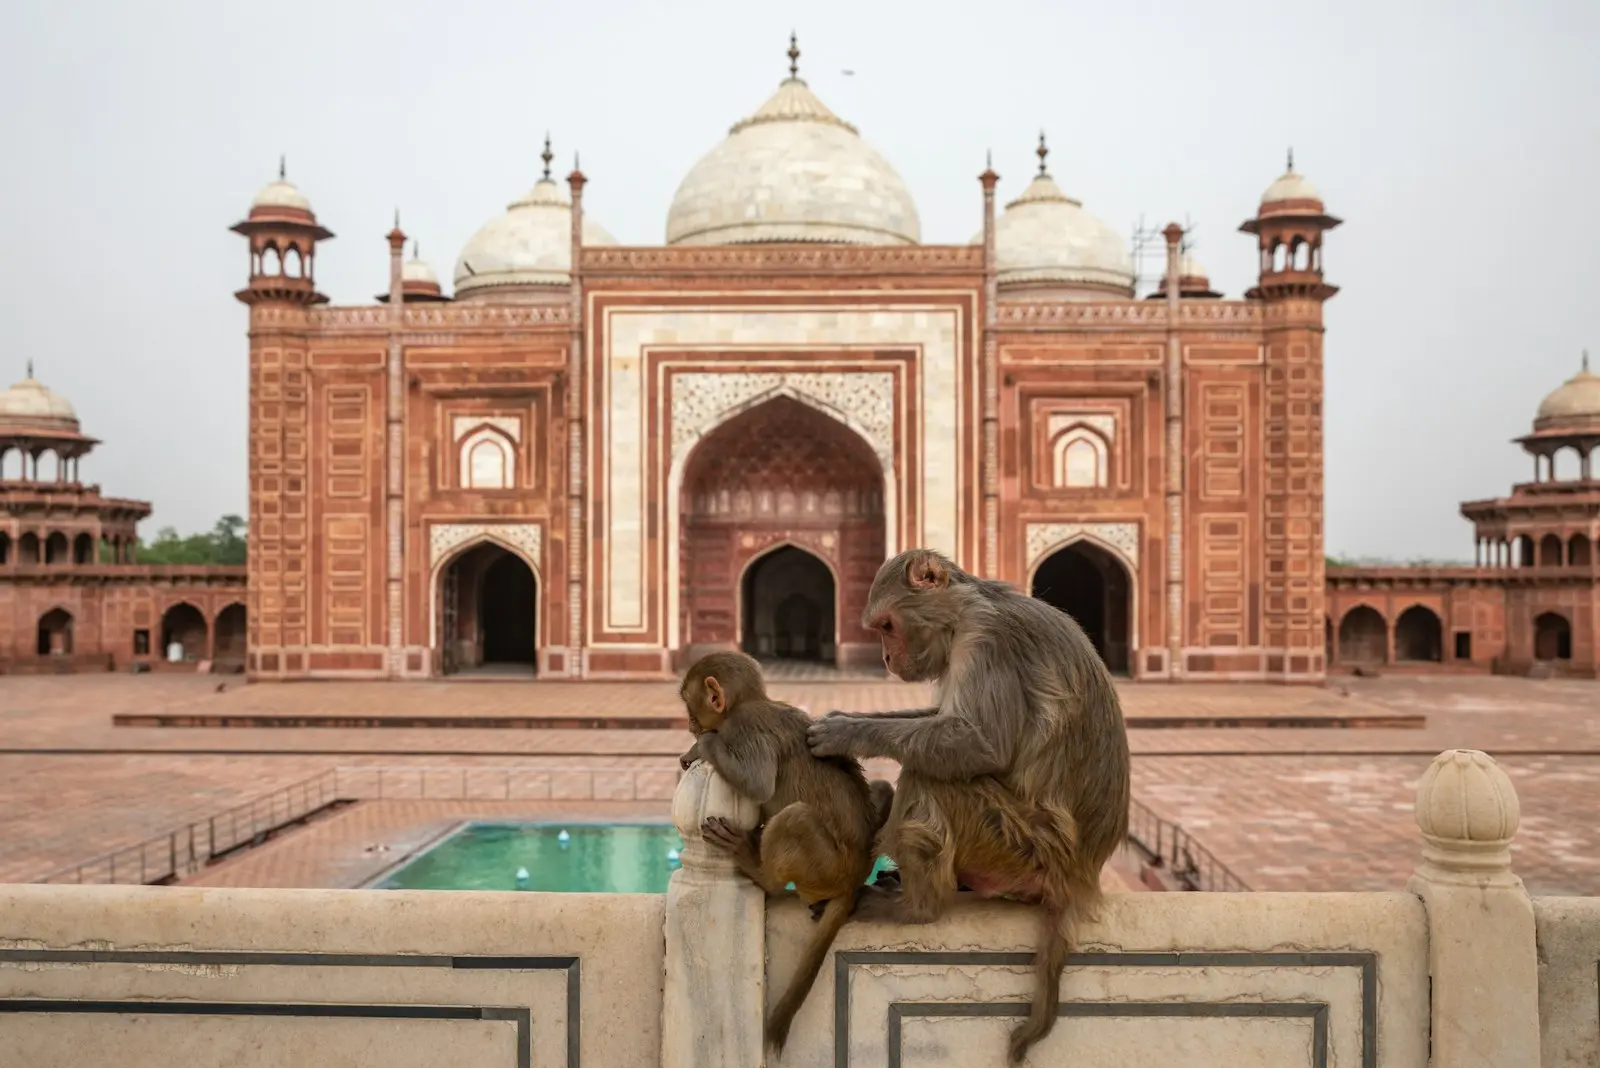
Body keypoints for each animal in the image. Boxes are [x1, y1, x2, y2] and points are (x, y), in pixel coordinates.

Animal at [676, 651, 895, 1054]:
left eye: (689, 704)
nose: (688, 724)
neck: (749, 702)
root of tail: (855, 876)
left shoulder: (742, 727)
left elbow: (758, 782)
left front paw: (702, 746)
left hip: (824, 867)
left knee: (794, 818)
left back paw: (758, 868)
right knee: (883, 787)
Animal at [805, 548, 1131, 1065]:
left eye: (886, 626)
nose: (885, 658)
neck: (965, 609)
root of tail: (1080, 876)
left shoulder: (986, 639)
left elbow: (980, 745)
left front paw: (845, 732)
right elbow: (944, 722)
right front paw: (846, 718)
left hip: (1016, 846)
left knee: (930, 776)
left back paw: (918, 907)